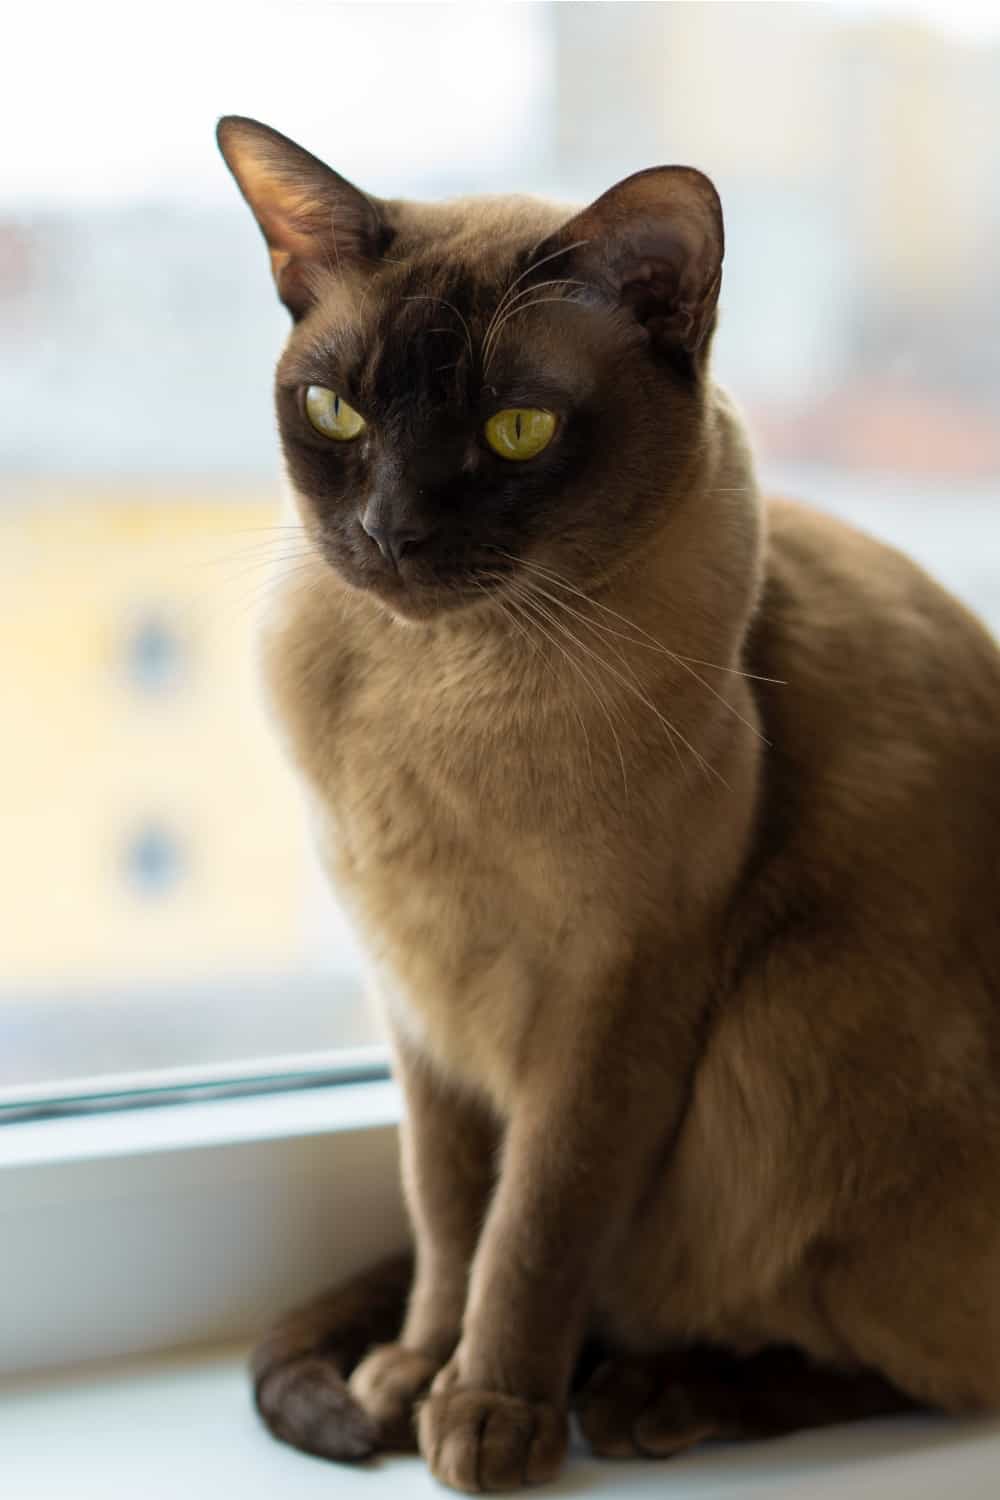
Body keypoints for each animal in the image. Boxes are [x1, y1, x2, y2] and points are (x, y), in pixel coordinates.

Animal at [217, 117, 1000, 1488]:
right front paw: (414, 1377)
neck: (437, 696)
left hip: (790, 1029)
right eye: (334, 409)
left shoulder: (611, 997)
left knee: (909, 1368)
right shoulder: (416, 1007)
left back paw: (649, 1397)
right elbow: (449, 1220)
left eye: (519, 431)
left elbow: (534, 1228)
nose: (391, 532)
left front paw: (487, 1415)